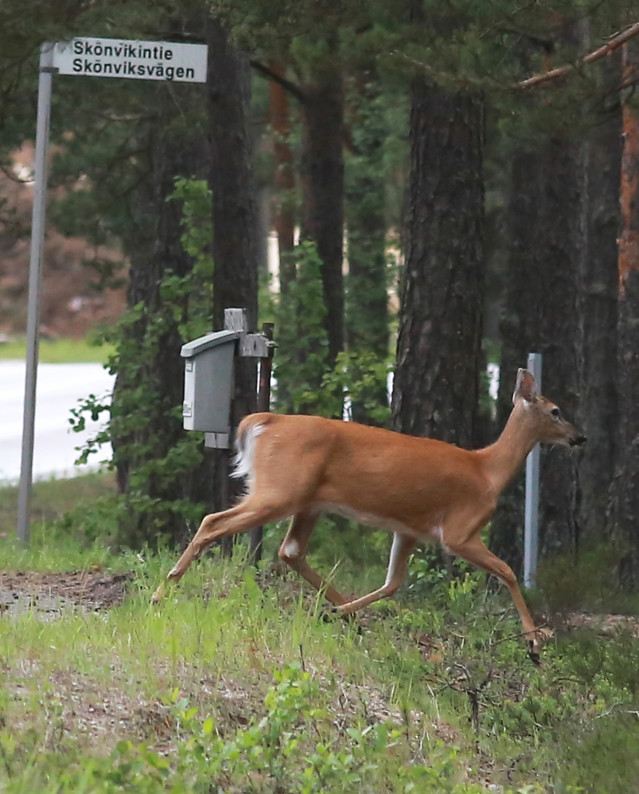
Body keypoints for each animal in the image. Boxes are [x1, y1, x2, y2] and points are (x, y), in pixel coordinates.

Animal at [152, 370, 588, 664]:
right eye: (556, 410)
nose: (579, 438)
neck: (487, 472)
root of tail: (260, 422)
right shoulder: (459, 531)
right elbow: (509, 571)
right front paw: (534, 643)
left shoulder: (409, 530)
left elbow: (392, 583)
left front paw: (341, 613)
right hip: (280, 491)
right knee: (214, 521)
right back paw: (162, 591)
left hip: (305, 501)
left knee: (289, 551)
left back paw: (338, 612)